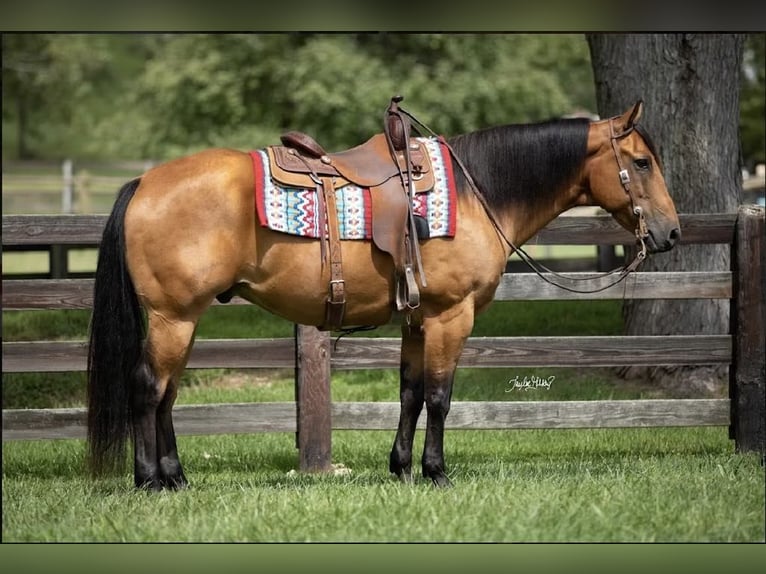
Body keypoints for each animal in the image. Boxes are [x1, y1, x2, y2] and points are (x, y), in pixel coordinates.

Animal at [88, 98, 684, 490]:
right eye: (642, 162)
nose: (672, 233)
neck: (478, 193)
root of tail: (143, 184)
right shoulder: (451, 316)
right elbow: (440, 397)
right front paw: (436, 472)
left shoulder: (418, 320)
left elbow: (411, 393)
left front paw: (401, 468)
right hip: (174, 317)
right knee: (148, 388)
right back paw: (148, 480)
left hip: (183, 320)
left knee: (167, 394)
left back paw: (176, 477)